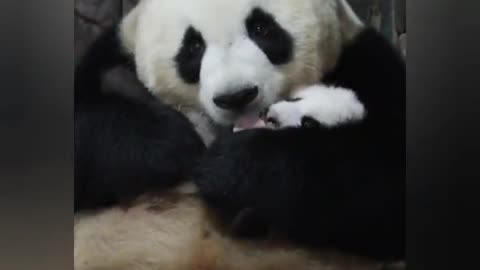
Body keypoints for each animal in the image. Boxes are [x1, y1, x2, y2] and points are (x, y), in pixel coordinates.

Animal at [74, 0, 404, 268]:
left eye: (262, 28)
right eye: (193, 46)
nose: (236, 97)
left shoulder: (364, 61)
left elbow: (381, 179)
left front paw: (233, 168)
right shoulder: (112, 52)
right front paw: (167, 142)